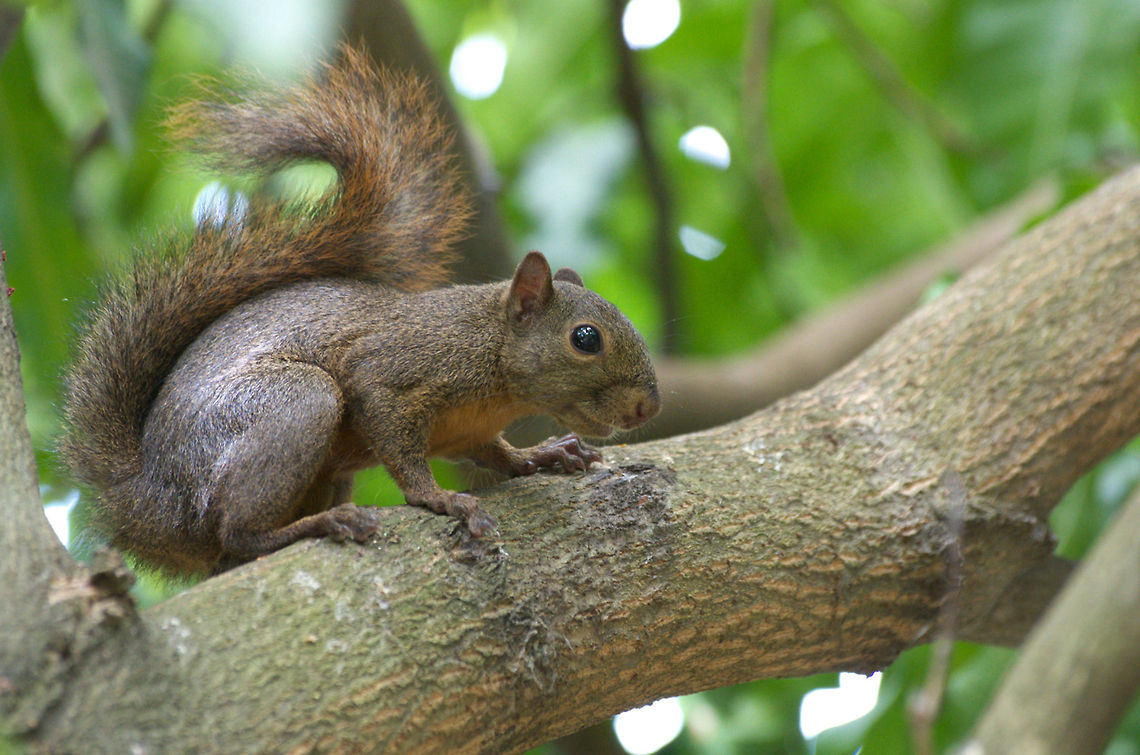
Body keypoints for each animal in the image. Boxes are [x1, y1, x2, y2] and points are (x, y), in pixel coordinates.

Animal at [60, 46, 661, 577]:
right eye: (586, 339)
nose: (646, 410)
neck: (492, 359)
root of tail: (148, 501)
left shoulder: (467, 431)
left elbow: (492, 455)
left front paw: (541, 456)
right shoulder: (395, 372)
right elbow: (399, 445)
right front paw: (440, 498)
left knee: (231, 555)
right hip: (291, 404)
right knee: (238, 532)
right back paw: (322, 526)